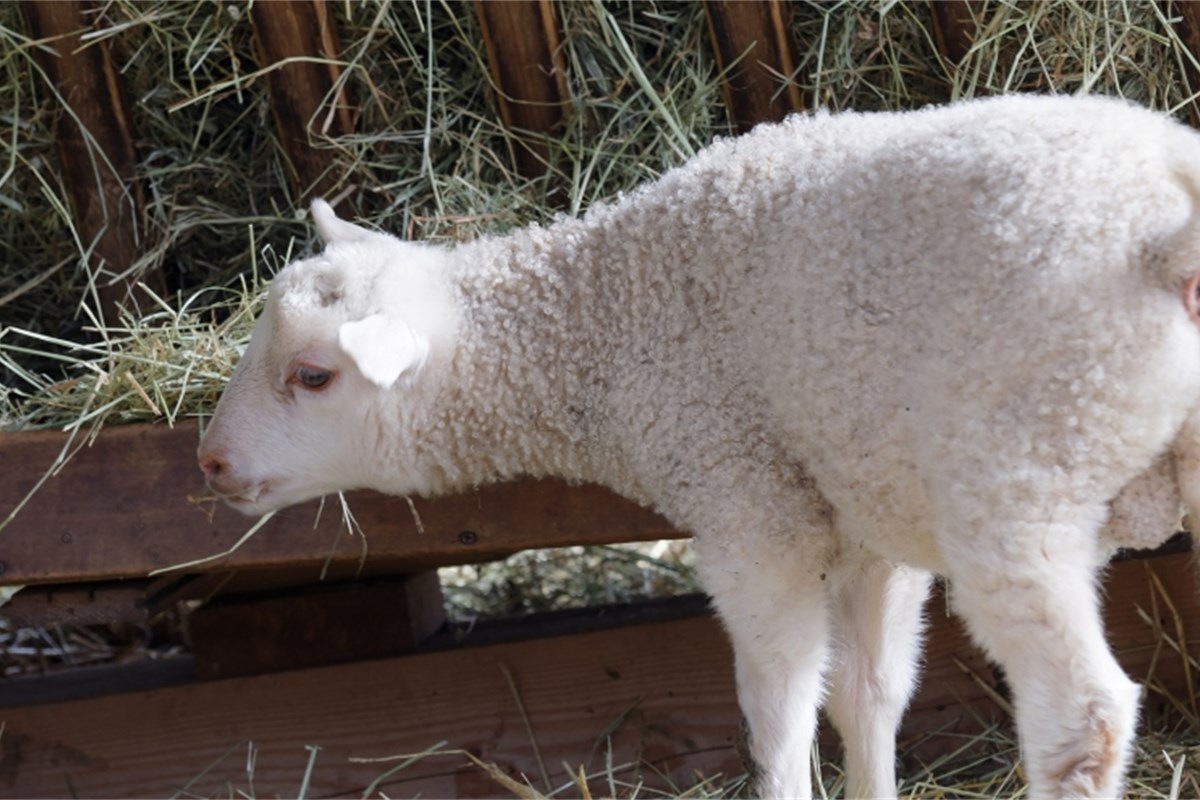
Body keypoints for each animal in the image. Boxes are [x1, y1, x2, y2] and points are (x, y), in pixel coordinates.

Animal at [196, 95, 1200, 800]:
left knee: (1082, 720)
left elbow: (779, 712)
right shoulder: (865, 520)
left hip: (1024, 470)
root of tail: (1167, 225)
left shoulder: (751, 510)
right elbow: (868, 694)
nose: (209, 463)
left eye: (314, 376)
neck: (610, 318)